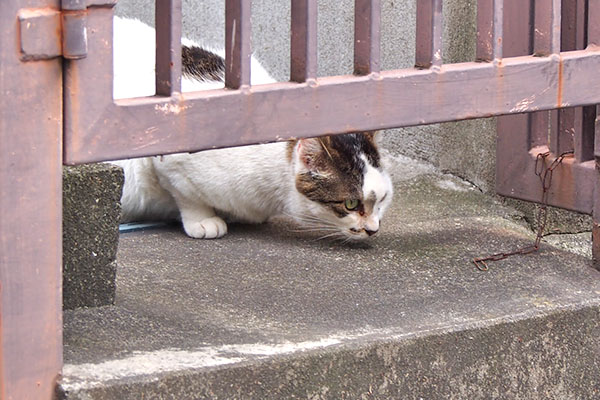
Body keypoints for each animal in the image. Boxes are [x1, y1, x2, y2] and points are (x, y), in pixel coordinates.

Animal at [112, 15, 394, 239]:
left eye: (382, 199)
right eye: (351, 204)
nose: (373, 229)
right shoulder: (169, 160)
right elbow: (186, 196)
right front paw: (203, 220)